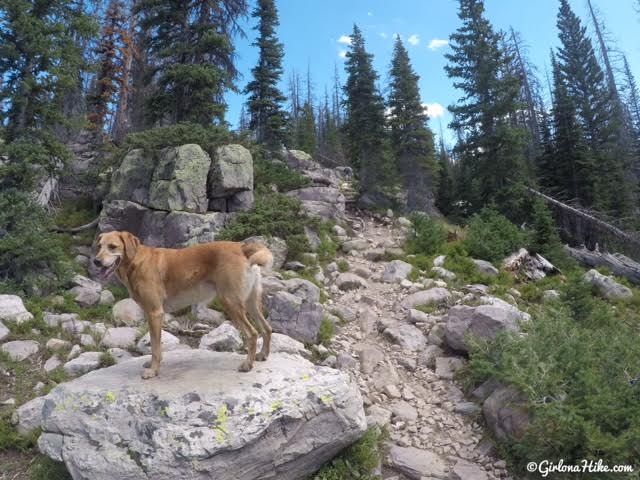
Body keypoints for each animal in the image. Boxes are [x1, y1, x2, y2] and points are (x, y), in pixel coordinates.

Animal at [94, 232, 274, 378]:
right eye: (99, 246)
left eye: (112, 246)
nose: (96, 261)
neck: (136, 262)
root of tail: (242, 247)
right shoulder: (151, 315)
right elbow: (154, 344)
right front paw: (152, 366)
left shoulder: (155, 313)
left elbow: (155, 348)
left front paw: (153, 371)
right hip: (251, 303)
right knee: (267, 328)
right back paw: (263, 355)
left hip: (231, 302)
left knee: (252, 333)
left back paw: (247, 364)